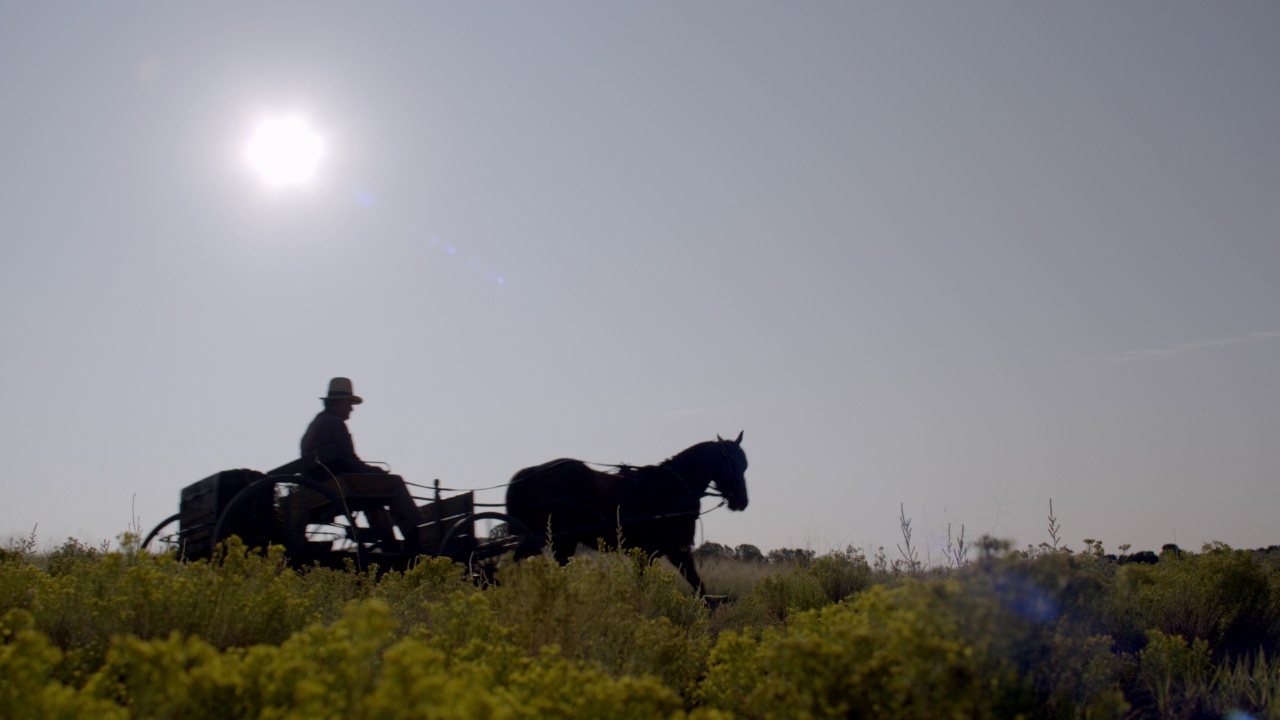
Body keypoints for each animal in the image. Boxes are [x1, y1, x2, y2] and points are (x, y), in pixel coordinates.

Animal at [501, 427, 747, 591]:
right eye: (734, 465)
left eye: (746, 465)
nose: (742, 501)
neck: (675, 485)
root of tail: (529, 472)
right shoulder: (678, 549)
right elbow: (700, 589)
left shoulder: (648, 554)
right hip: (558, 540)